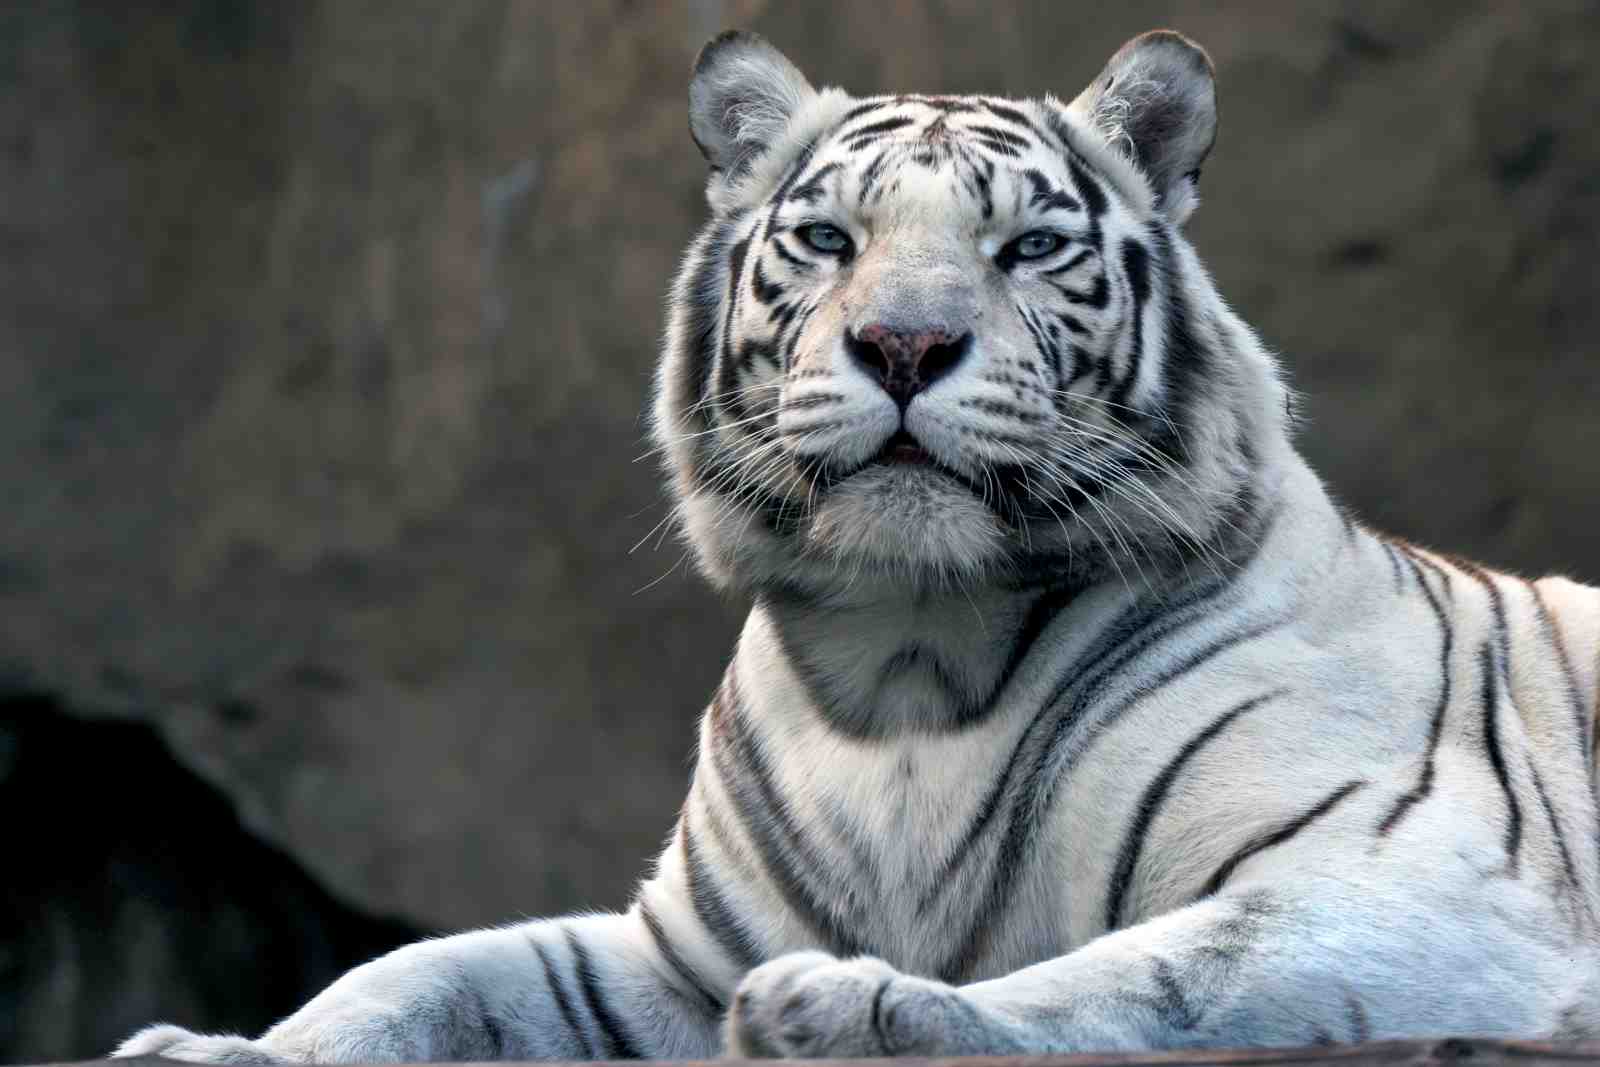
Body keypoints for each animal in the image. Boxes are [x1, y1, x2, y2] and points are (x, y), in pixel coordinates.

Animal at [117, 28, 1600, 1064]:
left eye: (1030, 246)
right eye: (829, 237)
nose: (903, 343)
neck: (908, 655)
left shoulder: (1409, 878)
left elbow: (1149, 973)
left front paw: (851, 1003)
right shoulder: (674, 953)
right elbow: (432, 970)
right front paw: (215, 1045)